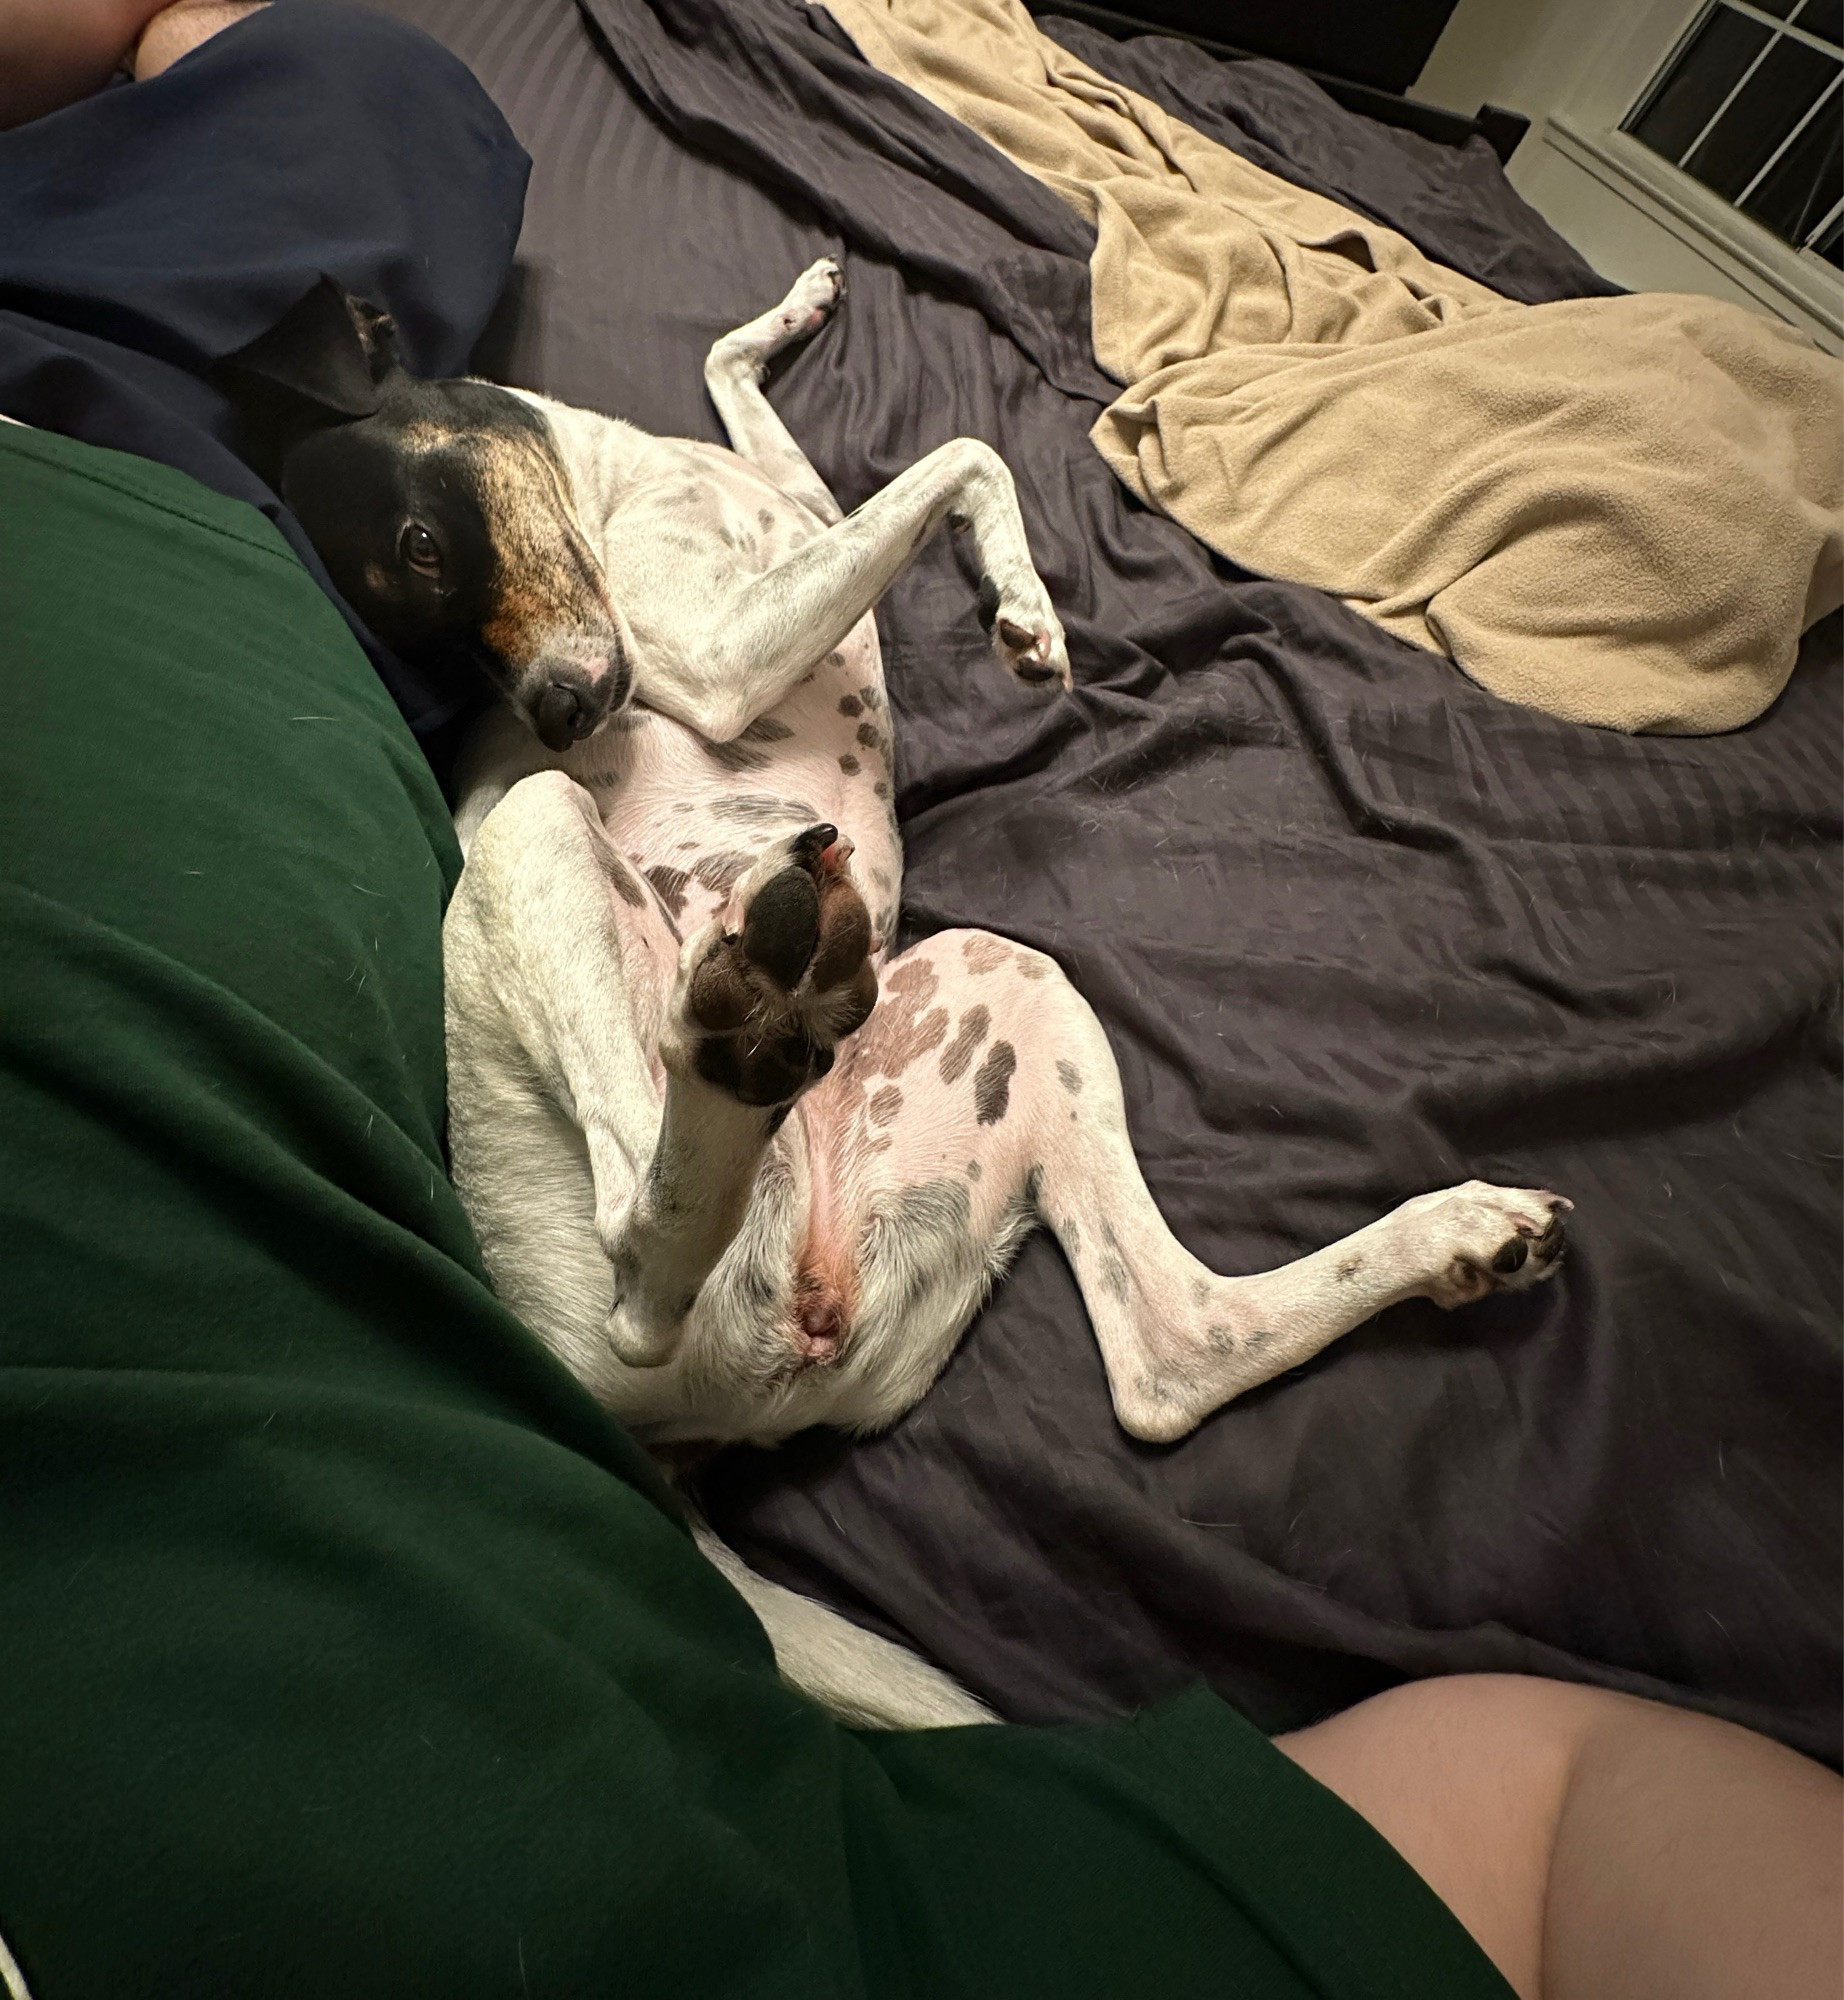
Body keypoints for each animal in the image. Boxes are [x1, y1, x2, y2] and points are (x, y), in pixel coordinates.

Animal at [234, 258, 1568, 1720]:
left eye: (422, 554)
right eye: (418, 602)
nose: (564, 715)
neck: (617, 480)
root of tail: (650, 1438)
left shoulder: (791, 517)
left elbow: (753, 384)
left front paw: (803, 313)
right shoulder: (713, 649)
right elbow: (965, 451)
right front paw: (1024, 608)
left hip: (1008, 988)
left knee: (1171, 1361)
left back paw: (1460, 1236)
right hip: (560, 894)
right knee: (638, 1242)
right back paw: (738, 1044)